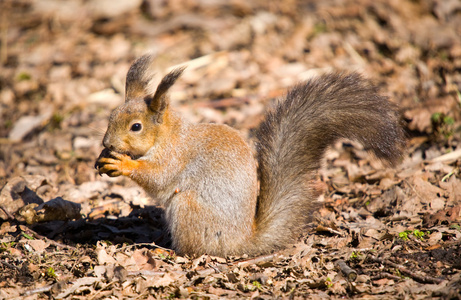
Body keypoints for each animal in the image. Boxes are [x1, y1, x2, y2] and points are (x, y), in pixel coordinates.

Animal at [95, 54, 404, 255]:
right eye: (110, 116)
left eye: (136, 127)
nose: (106, 142)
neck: (167, 137)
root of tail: (242, 242)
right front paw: (103, 158)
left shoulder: (175, 157)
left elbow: (158, 177)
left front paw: (122, 163)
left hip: (188, 209)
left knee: (196, 251)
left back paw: (166, 251)